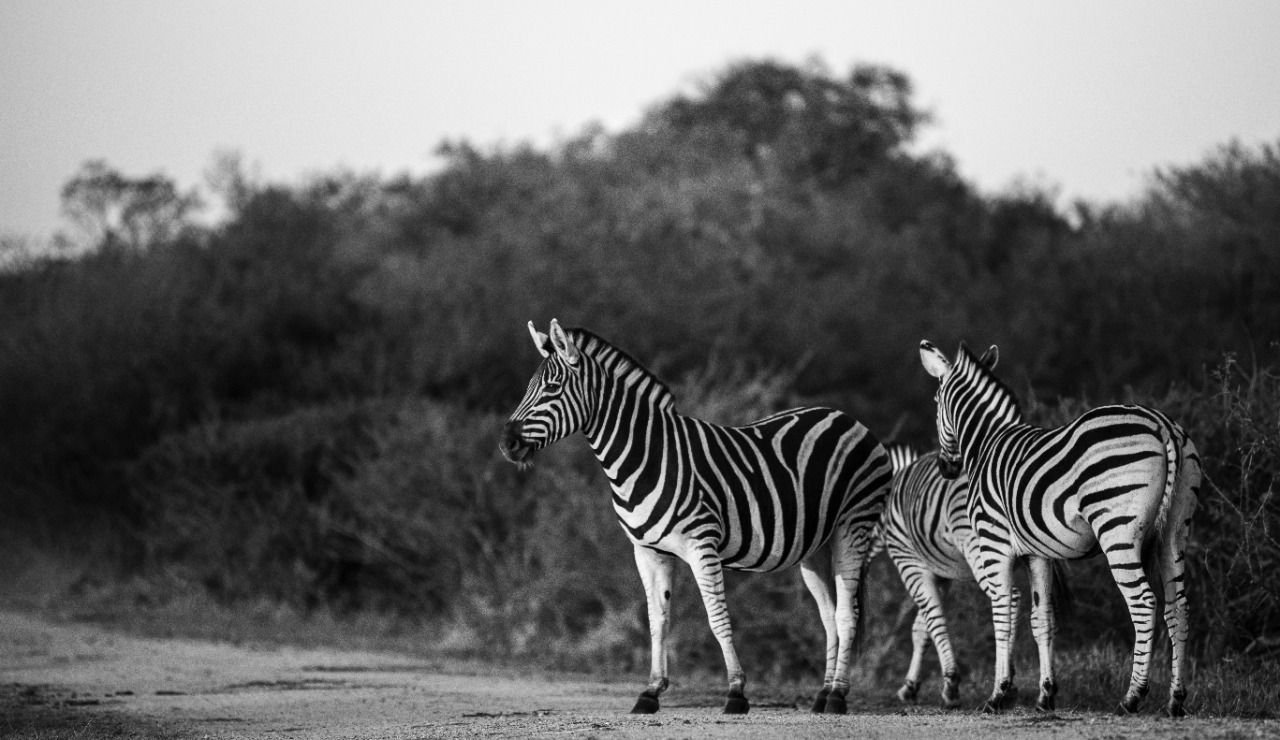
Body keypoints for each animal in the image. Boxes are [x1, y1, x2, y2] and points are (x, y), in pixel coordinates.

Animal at [499, 320, 893, 715]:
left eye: (552, 388)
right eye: (528, 388)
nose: (506, 444)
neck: (644, 458)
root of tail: (845, 417)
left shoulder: (702, 544)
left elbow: (717, 618)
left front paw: (736, 692)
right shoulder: (648, 551)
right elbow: (657, 620)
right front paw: (650, 691)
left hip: (854, 524)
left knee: (847, 613)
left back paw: (838, 696)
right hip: (816, 546)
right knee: (830, 616)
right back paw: (823, 695)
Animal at [918, 340, 1200, 717]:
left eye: (936, 403)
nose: (946, 467)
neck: (986, 444)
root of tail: (1162, 424)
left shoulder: (993, 544)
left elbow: (1001, 617)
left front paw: (997, 695)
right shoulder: (1038, 553)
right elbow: (1042, 620)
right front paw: (1046, 695)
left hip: (1118, 531)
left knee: (1143, 603)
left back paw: (1132, 697)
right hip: (1175, 531)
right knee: (1178, 607)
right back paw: (1175, 700)